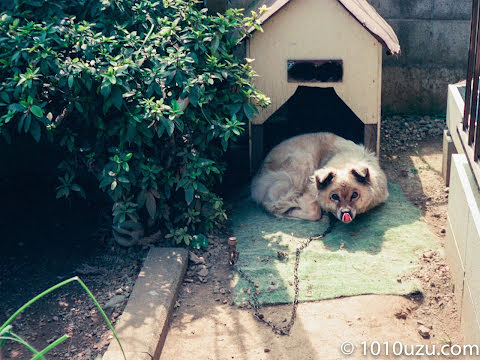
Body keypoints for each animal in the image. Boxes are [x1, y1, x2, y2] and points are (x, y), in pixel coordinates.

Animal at [251, 132, 390, 222]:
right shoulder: (310, 189)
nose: (346, 213)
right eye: (334, 197)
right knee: (273, 205)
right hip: (303, 164)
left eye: (355, 195)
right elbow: (314, 211)